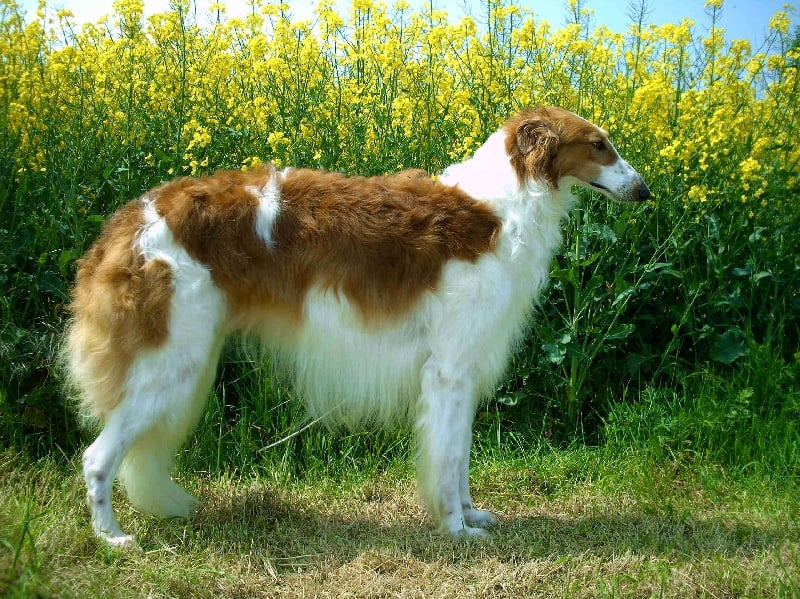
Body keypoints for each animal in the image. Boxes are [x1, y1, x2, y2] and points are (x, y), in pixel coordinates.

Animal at [62, 105, 648, 548]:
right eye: (599, 145)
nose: (644, 191)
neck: (501, 210)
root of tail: (130, 219)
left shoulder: (461, 373)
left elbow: (459, 458)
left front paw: (471, 515)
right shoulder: (448, 372)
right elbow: (449, 458)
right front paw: (457, 529)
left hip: (186, 361)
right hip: (168, 368)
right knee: (95, 458)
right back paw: (111, 537)